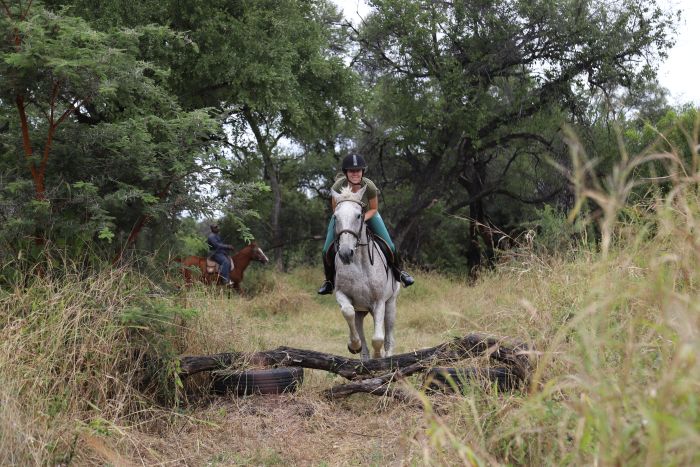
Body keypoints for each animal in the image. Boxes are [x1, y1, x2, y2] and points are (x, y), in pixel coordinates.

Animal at [331, 185, 400, 360]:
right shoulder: (342, 295)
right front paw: (353, 345)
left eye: (358, 215)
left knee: (389, 336)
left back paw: (387, 355)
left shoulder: (379, 301)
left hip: (391, 303)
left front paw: (378, 356)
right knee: (358, 324)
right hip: (361, 311)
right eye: (335, 217)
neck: (359, 264)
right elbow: (347, 312)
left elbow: (378, 338)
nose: (345, 253)